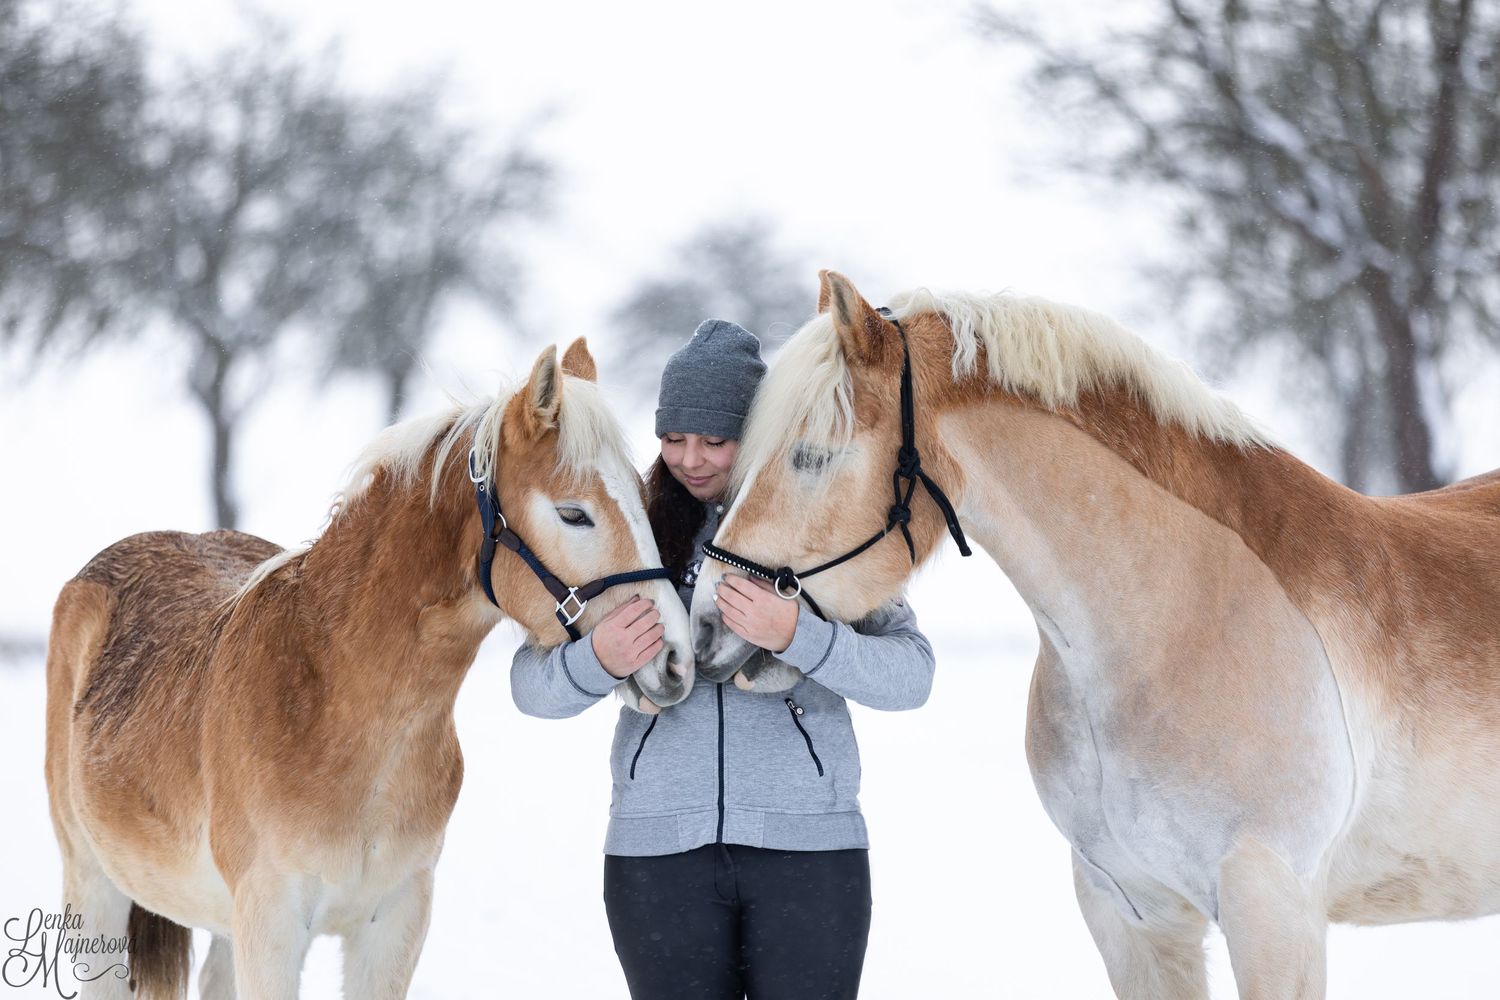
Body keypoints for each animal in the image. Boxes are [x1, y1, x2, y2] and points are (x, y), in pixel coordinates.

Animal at [44, 339, 692, 1000]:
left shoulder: (394, 925)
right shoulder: (270, 930)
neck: (334, 709)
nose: (674, 656)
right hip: (95, 889)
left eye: (643, 499)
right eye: (574, 514)